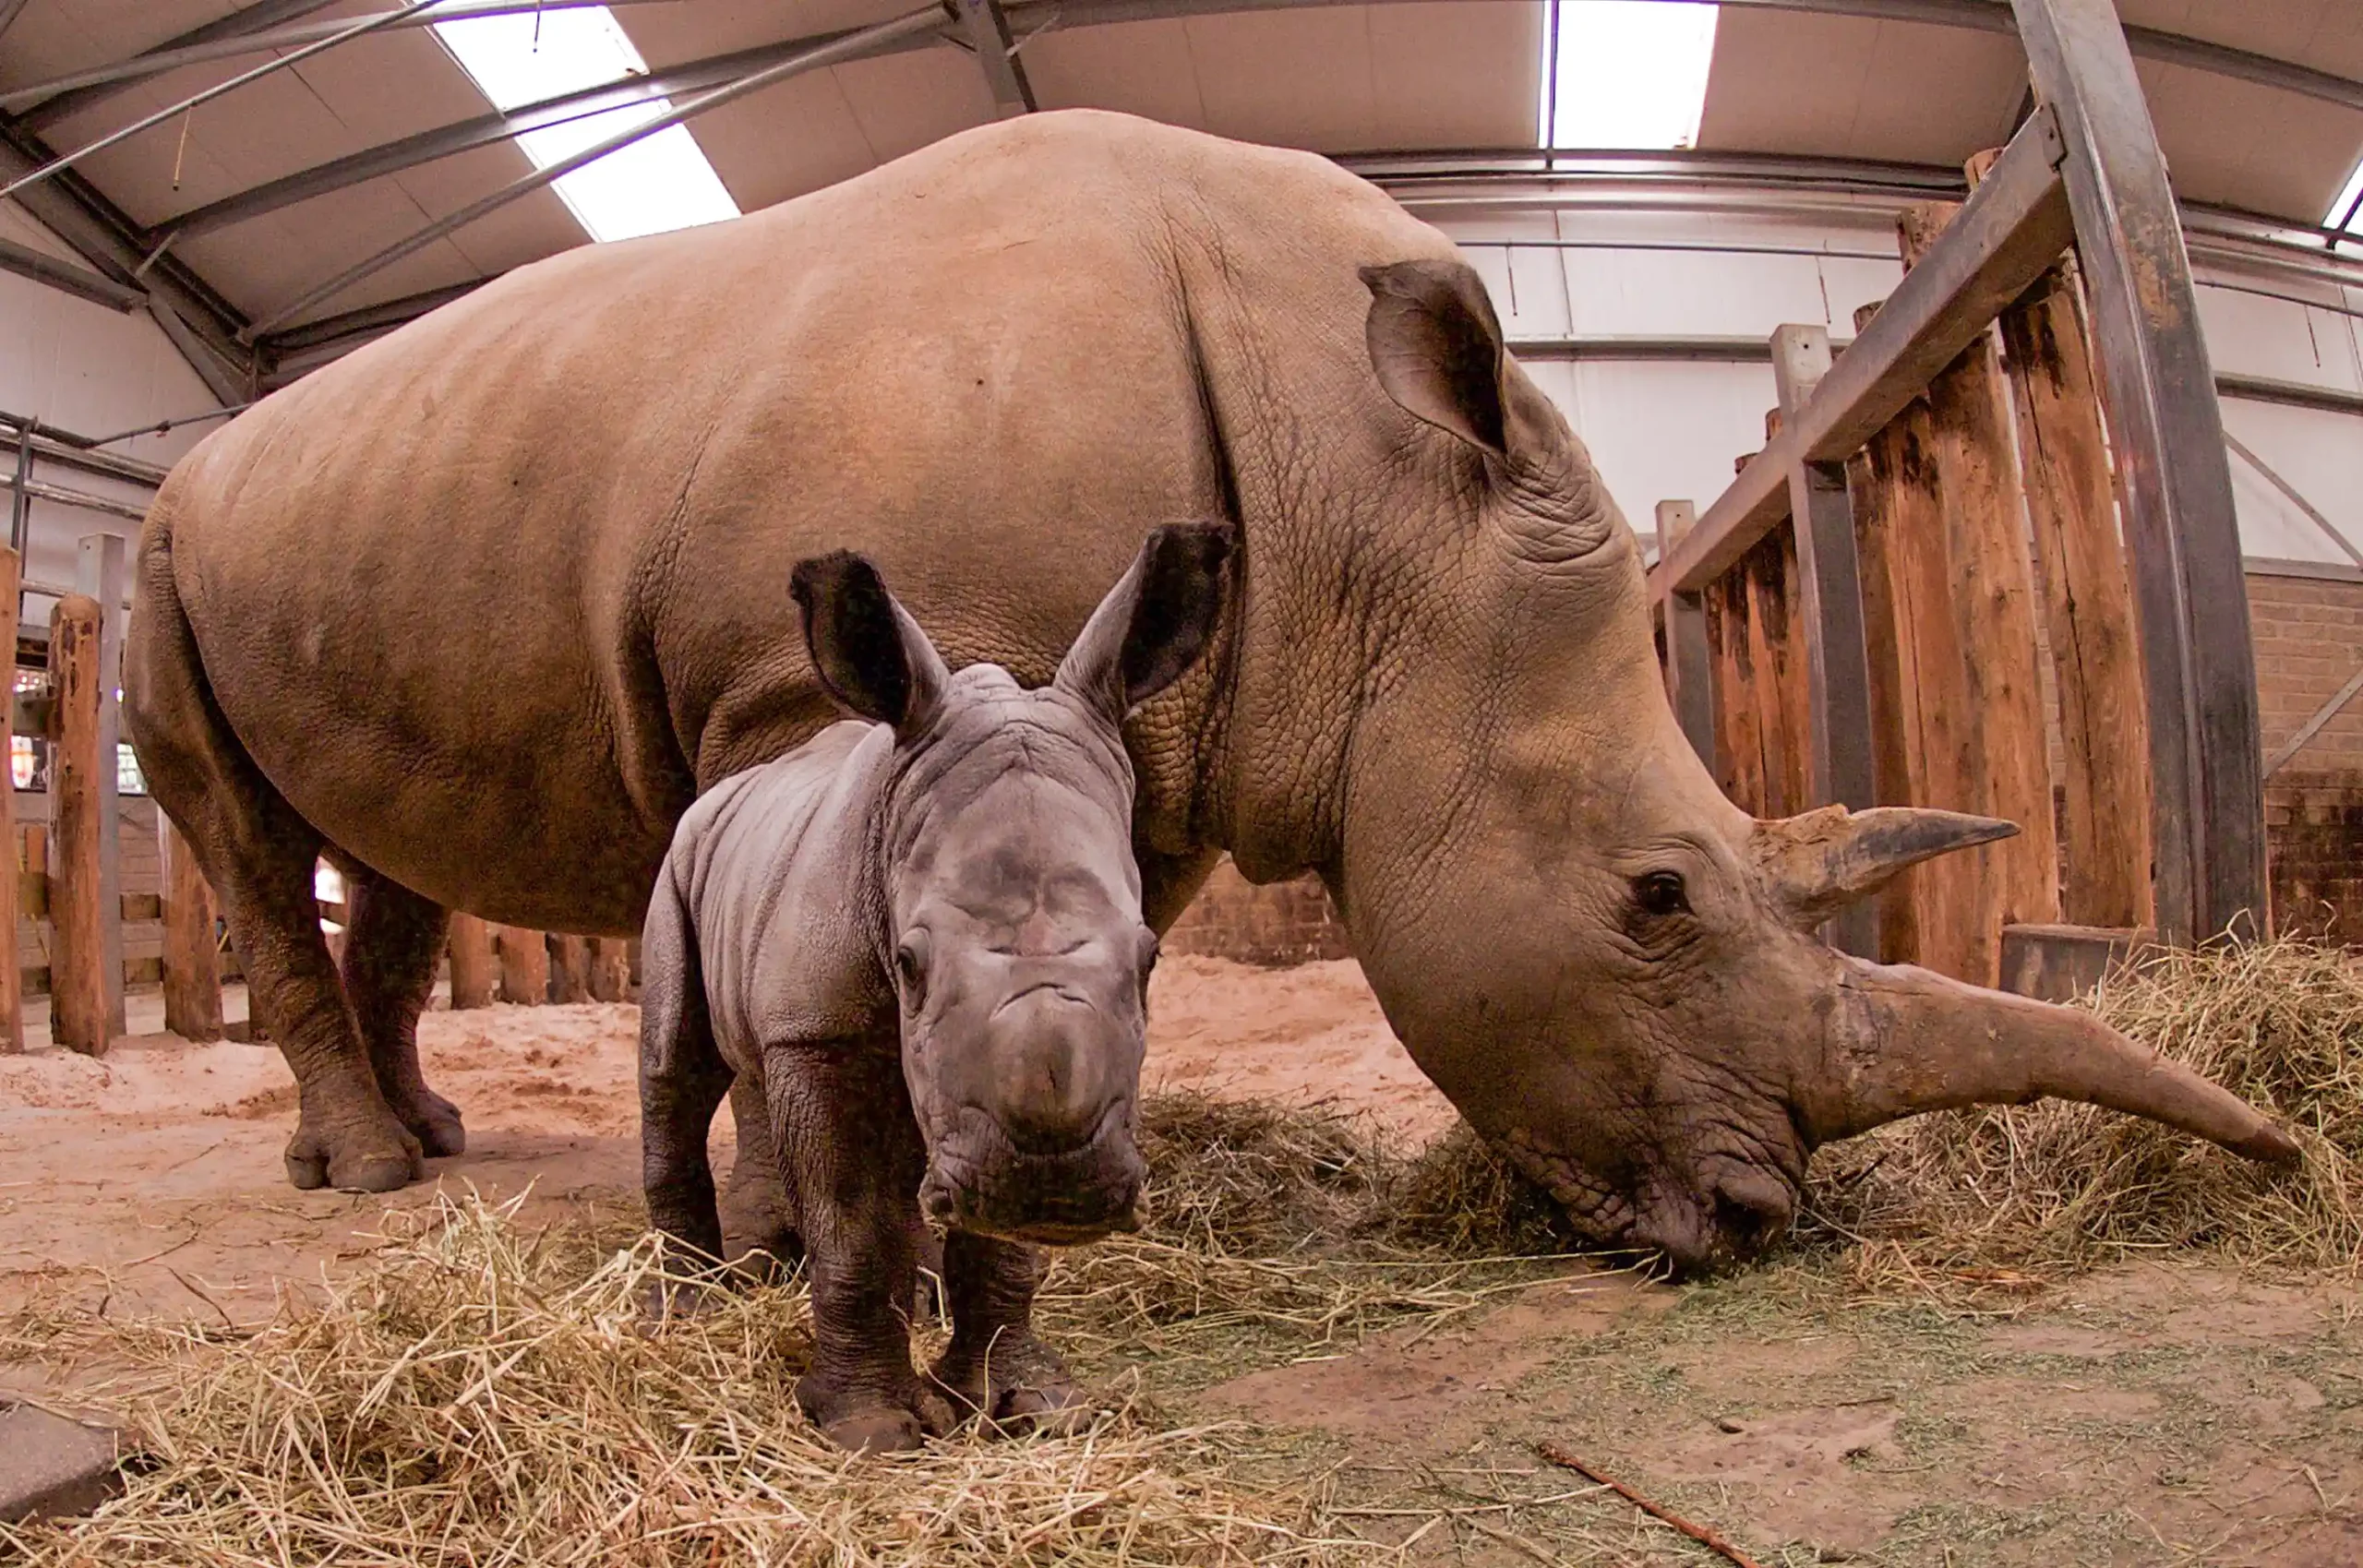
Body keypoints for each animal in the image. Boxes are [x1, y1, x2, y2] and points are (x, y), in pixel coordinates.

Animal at [125, 109, 2295, 1275]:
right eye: (1658, 898)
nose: (1760, 1222)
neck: (1375, 506)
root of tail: (203, 449)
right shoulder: (796, 682)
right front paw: (805, 1238)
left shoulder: (1161, 720)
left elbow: (1097, 933)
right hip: (155, 550)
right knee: (241, 833)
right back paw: (372, 1174)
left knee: (381, 850)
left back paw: (423, 1141)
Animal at [642, 526, 1227, 1450]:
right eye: (909, 963)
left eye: (1150, 960)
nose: (1055, 1185)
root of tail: (738, 785)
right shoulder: (821, 1028)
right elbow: (849, 1222)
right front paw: (871, 1428)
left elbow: (998, 1240)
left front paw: (1026, 1404)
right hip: (682, 856)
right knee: (678, 1065)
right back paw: (684, 1313)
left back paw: (911, 1297)